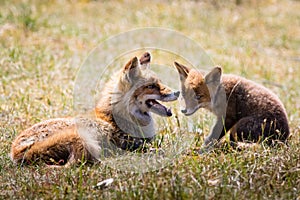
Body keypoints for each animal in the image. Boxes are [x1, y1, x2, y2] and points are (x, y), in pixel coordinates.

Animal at [9, 52, 180, 166]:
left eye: (159, 82)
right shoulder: (134, 145)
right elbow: (158, 149)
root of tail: (17, 153)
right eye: (151, 86)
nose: (178, 92)